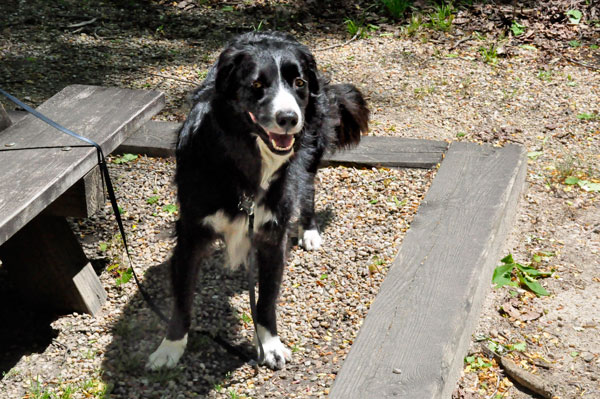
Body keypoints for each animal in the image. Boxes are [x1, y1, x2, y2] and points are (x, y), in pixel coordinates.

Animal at [147, 32, 368, 372]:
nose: (289, 118)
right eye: (256, 85)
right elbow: (182, 298)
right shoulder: (191, 234)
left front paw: (270, 345)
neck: (243, 160)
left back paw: (309, 231)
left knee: (307, 187)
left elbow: (265, 300)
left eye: (299, 83)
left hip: (309, 151)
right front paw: (170, 347)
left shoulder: (273, 236)